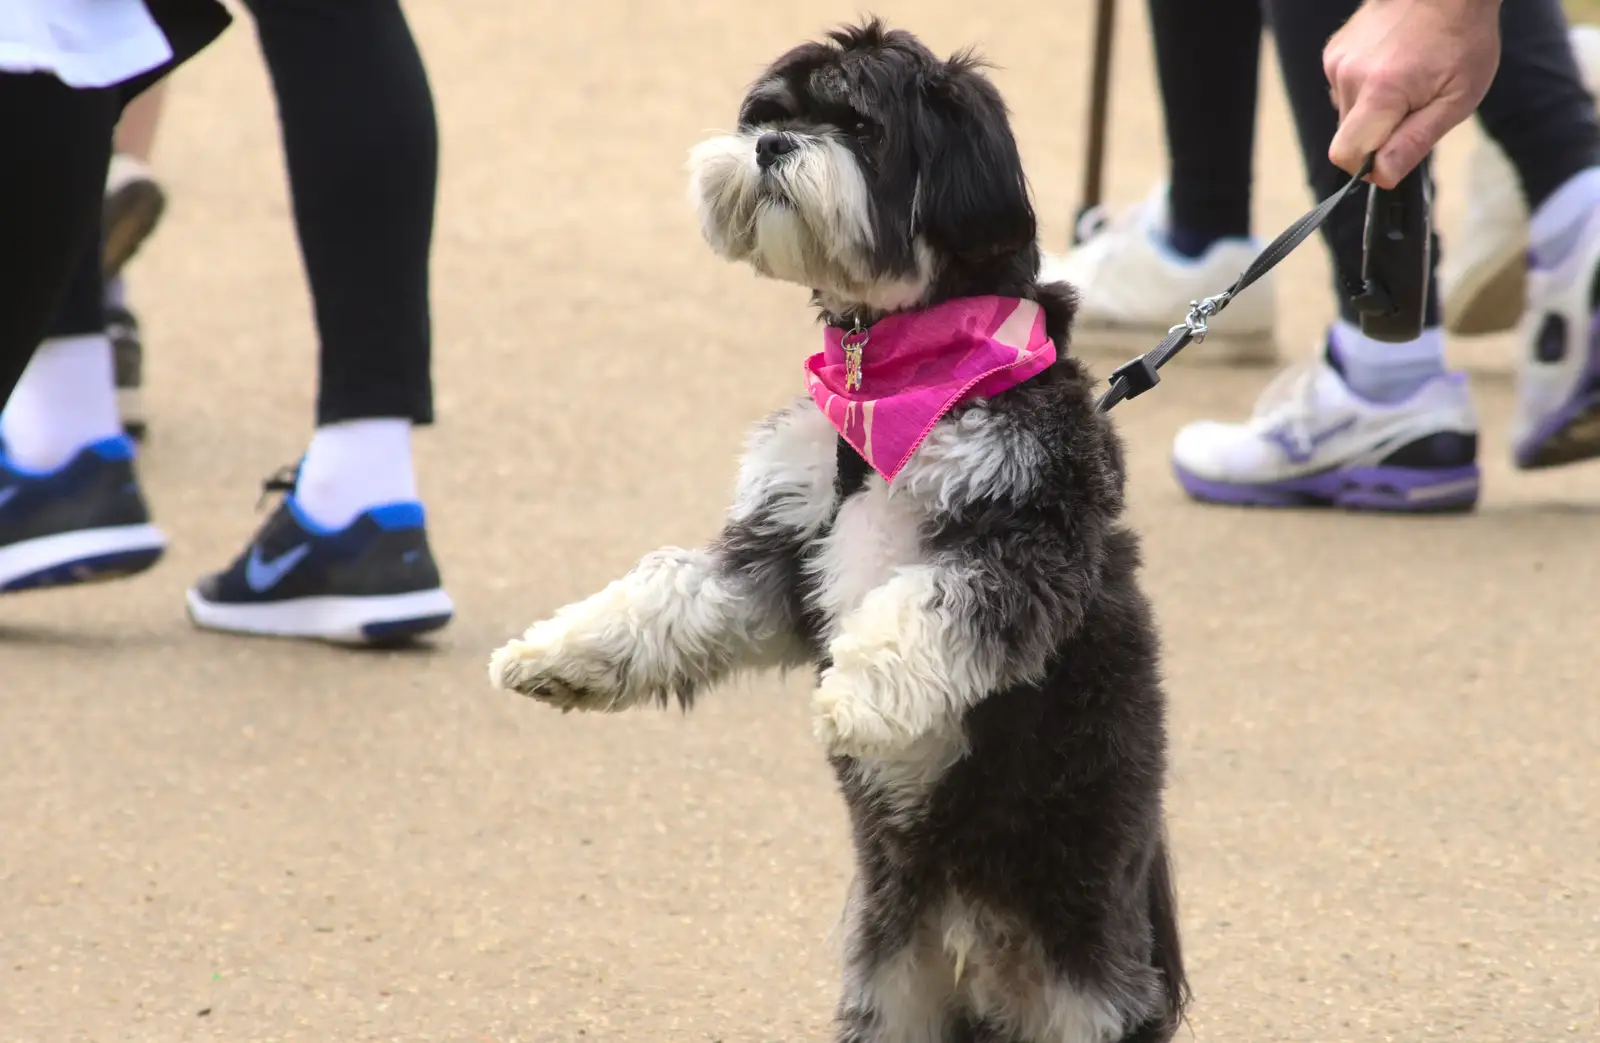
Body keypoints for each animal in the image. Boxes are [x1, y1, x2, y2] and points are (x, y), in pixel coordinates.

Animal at [486, 18, 1190, 1043]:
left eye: (859, 125)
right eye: (769, 114)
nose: (771, 147)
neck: (891, 376)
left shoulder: (1029, 540)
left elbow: (930, 605)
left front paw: (854, 693)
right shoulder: (782, 549)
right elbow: (669, 593)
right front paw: (560, 652)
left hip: (1087, 989)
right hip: (895, 984)